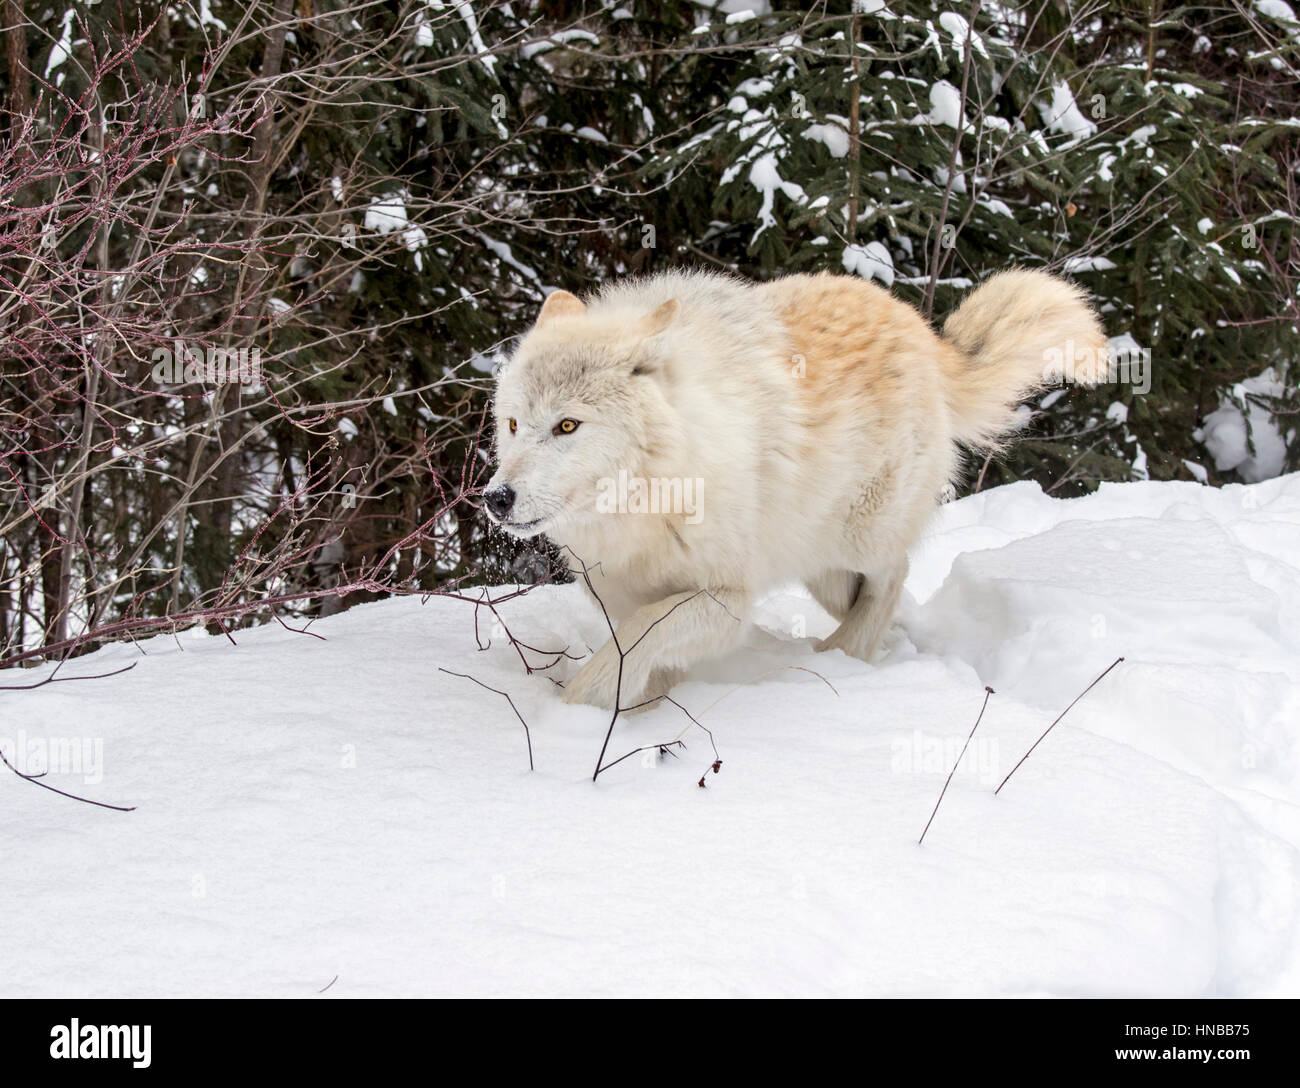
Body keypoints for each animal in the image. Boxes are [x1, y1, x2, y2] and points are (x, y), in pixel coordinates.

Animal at [485, 269, 1105, 710]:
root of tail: (923, 331)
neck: (644, 506)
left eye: (567, 426)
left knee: (895, 574)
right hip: (821, 569)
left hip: (856, 540)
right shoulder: (620, 594)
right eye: (513, 424)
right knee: (880, 594)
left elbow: (634, 643)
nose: (496, 499)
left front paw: (573, 713)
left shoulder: (725, 598)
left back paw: (843, 656)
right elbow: (641, 654)